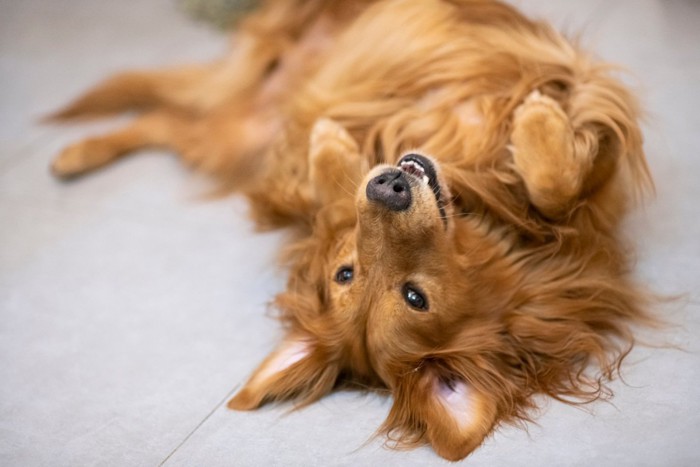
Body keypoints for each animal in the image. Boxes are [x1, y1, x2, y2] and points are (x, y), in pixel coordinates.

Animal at [49, 0, 656, 460]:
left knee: (163, 120)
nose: (388, 187)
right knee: (162, 115)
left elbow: (557, 187)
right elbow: (328, 186)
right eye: (349, 274)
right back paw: (76, 154)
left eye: (412, 296)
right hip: (233, 126)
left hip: (229, 133)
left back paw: (75, 153)